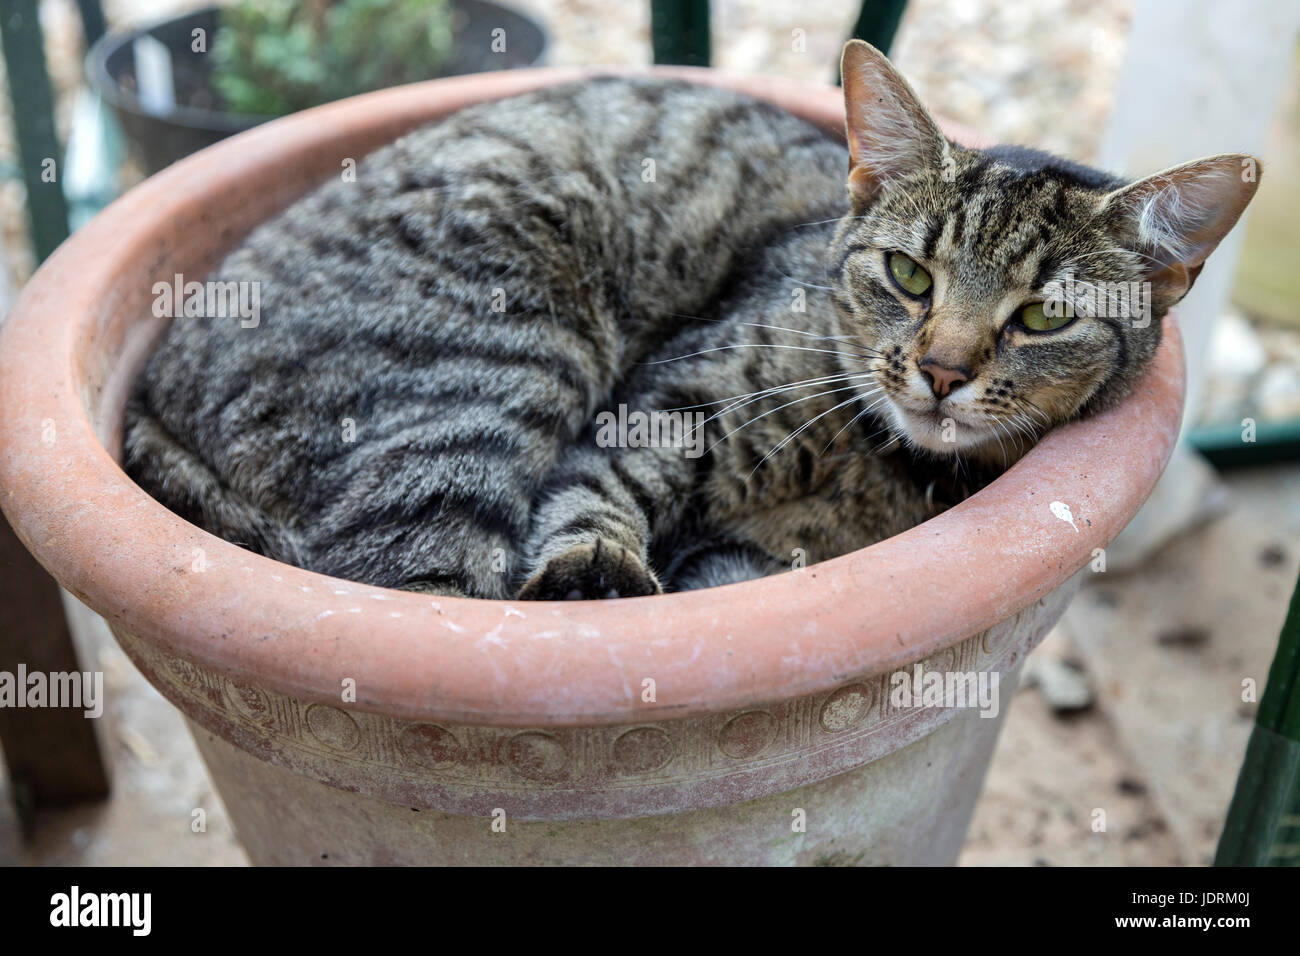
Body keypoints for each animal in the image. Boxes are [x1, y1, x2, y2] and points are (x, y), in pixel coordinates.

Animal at [122, 42, 1258, 606]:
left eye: (1042, 314)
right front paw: (596, 572)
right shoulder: (664, 400)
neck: (875, 469)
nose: (940, 370)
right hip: (503, 358)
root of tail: (160, 382)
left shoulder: (754, 559)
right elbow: (596, 495)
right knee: (408, 592)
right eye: (908, 274)